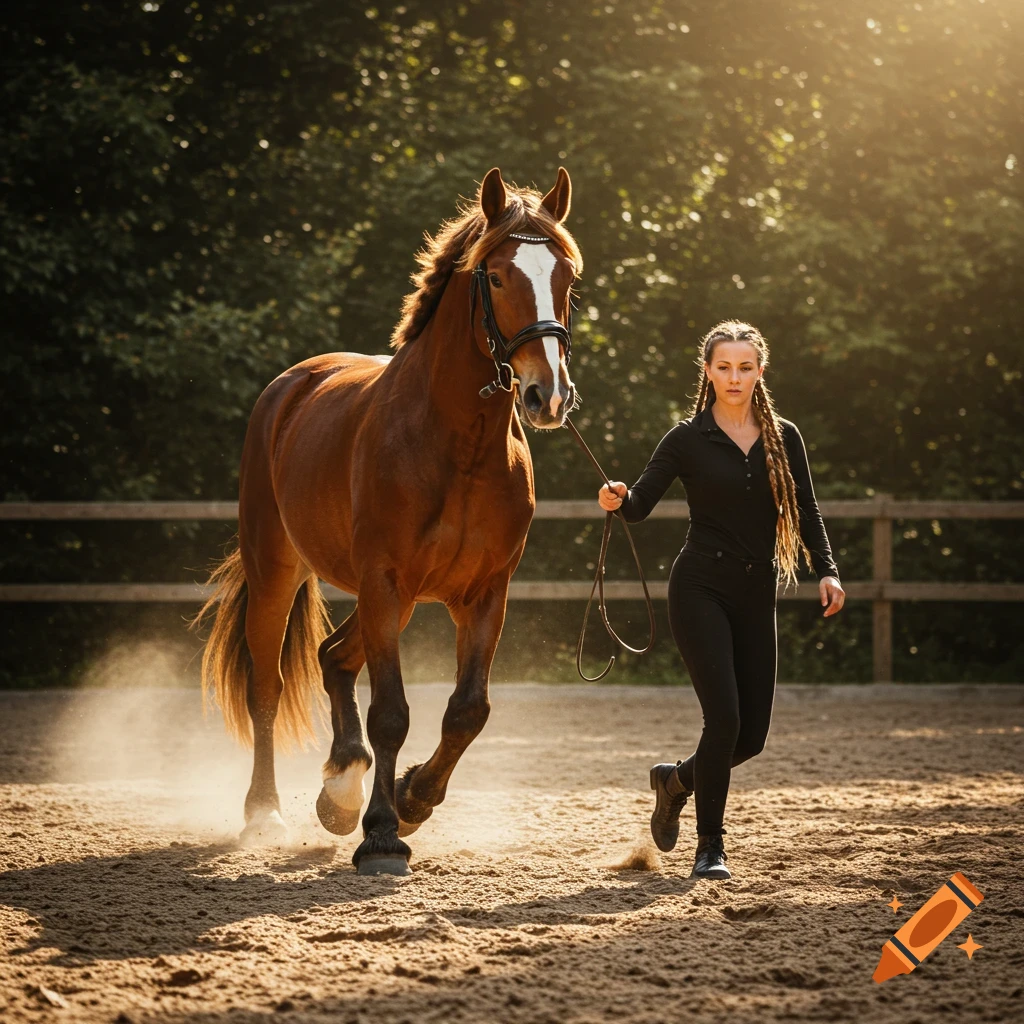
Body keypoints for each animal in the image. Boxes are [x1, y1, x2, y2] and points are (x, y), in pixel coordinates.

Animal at [194, 167, 582, 875]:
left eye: (565, 276)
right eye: (496, 277)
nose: (548, 395)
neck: (457, 445)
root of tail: (289, 387)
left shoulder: (483, 594)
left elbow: (467, 710)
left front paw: (410, 799)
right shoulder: (383, 581)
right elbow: (392, 714)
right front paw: (380, 834)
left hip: (389, 605)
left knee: (332, 658)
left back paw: (340, 787)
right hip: (281, 573)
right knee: (268, 687)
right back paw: (267, 813)